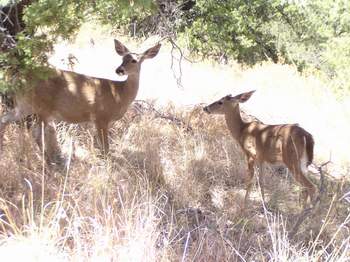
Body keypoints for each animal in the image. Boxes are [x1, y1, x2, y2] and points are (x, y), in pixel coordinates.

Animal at [0, 38, 161, 166]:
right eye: (122, 59)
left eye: (134, 60)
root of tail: (17, 78)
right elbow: (105, 148)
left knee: (5, 119)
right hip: (43, 106)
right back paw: (50, 163)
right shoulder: (101, 116)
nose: (119, 70)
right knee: (36, 133)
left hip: (24, 105)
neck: (119, 94)